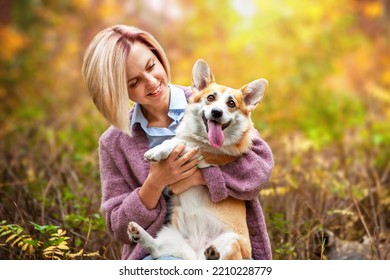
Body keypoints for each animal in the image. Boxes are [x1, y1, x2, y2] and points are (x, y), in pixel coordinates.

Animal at [126, 58, 266, 260]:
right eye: (210, 98)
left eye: (231, 103)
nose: (216, 112)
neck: (201, 137)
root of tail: (197, 253)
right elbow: (179, 140)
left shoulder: (211, 154)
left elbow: (180, 142)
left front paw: (157, 151)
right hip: (170, 237)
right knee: (157, 248)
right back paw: (137, 232)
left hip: (231, 242)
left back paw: (213, 254)